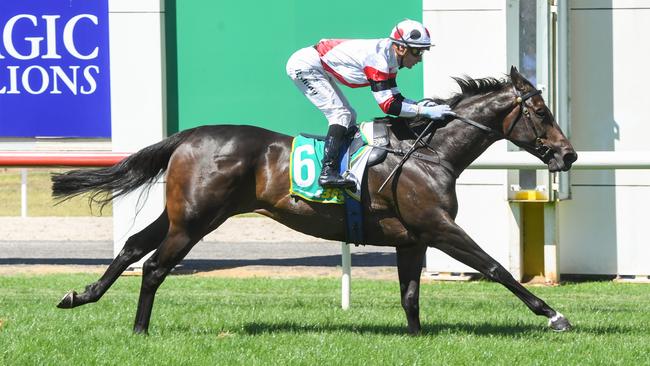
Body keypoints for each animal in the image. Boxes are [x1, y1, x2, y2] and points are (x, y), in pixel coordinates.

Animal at [53, 67, 576, 336]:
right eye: (541, 111)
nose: (568, 154)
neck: (428, 153)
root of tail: (186, 136)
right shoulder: (438, 227)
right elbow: (495, 268)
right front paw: (553, 314)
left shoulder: (412, 238)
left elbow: (410, 294)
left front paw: (415, 338)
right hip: (197, 221)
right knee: (155, 266)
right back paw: (140, 330)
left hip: (182, 214)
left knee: (132, 247)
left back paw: (81, 295)